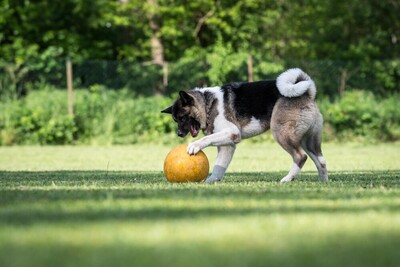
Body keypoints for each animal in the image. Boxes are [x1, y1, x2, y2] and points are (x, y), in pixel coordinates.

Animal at [162, 68, 328, 183]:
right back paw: (323, 182)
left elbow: (206, 140)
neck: (208, 104)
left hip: (281, 133)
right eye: (176, 120)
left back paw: (288, 179)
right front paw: (212, 181)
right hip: (308, 141)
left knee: (301, 156)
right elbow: (218, 167)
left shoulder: (232, 132)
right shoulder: (227, 145)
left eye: (182, 118)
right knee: (320, 160)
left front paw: (195, 145)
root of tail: (307, 94)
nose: (179, 134)